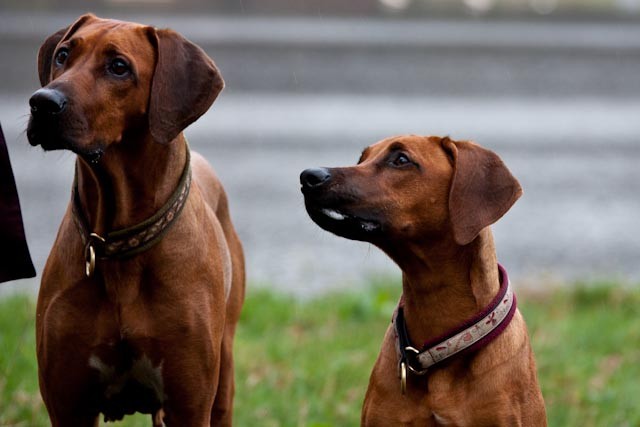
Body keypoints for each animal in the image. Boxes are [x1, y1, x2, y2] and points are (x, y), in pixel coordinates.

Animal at [26, 14, 245, 427]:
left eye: (118, 67)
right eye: (63, 55)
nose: (42, 102)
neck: (116, 242)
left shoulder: (189, 404)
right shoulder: (67, 404)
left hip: (222, 374)